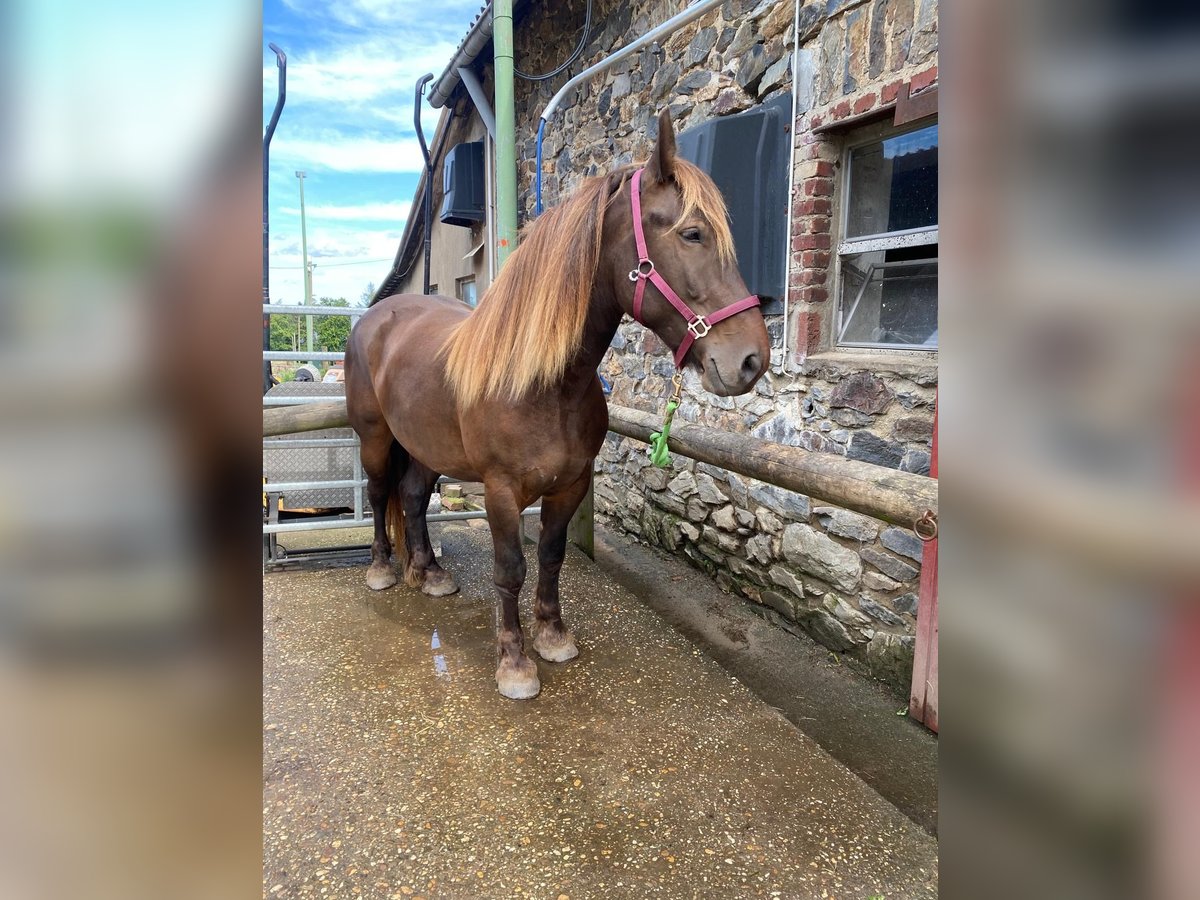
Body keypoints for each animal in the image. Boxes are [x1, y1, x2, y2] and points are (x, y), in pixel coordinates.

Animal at [343, 112, 768, 700]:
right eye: (691, 233)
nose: (752, 359)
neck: (545, 385)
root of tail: (374, 318)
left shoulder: (571, 483)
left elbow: (551, 556)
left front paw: (552, 636)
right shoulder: (500, 492)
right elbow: (510, 569)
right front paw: (515, 663)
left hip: (426, 446)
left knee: (411, 497)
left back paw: (429, 574)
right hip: (377, 439)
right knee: (381, 490)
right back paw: (383, 569)